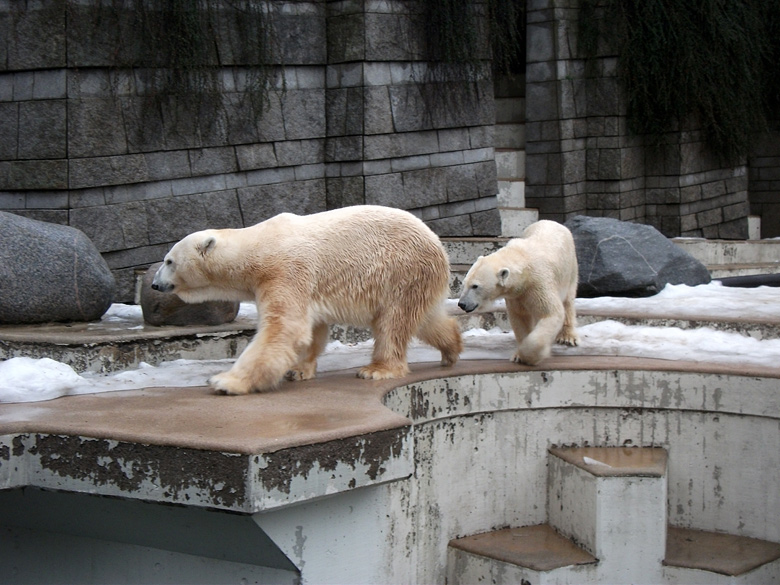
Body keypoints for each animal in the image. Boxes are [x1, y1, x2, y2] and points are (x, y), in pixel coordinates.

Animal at [151, 204, 464, 392]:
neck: (257, 248)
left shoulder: (284, 271)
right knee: (424, 319)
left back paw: (376, 370)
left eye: (169, 261)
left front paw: (226, 381)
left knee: (393, 323)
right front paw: (297, 370)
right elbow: (311, 329)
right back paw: (451, 350)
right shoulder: (303, 284)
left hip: (402, 271)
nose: (154, 284)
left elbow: (284, 328)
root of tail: (438, 244)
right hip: (417, 280)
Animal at [458, 220, 580, 364]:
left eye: (475, 286)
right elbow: (520, 317)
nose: (462, 304)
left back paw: (567, 337)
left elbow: (550, 313)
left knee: (568, 301)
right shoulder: (516, 294)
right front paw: (519, 355)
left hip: (570, 267)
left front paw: (531, 355)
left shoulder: (539, 283)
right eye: (464, 283)